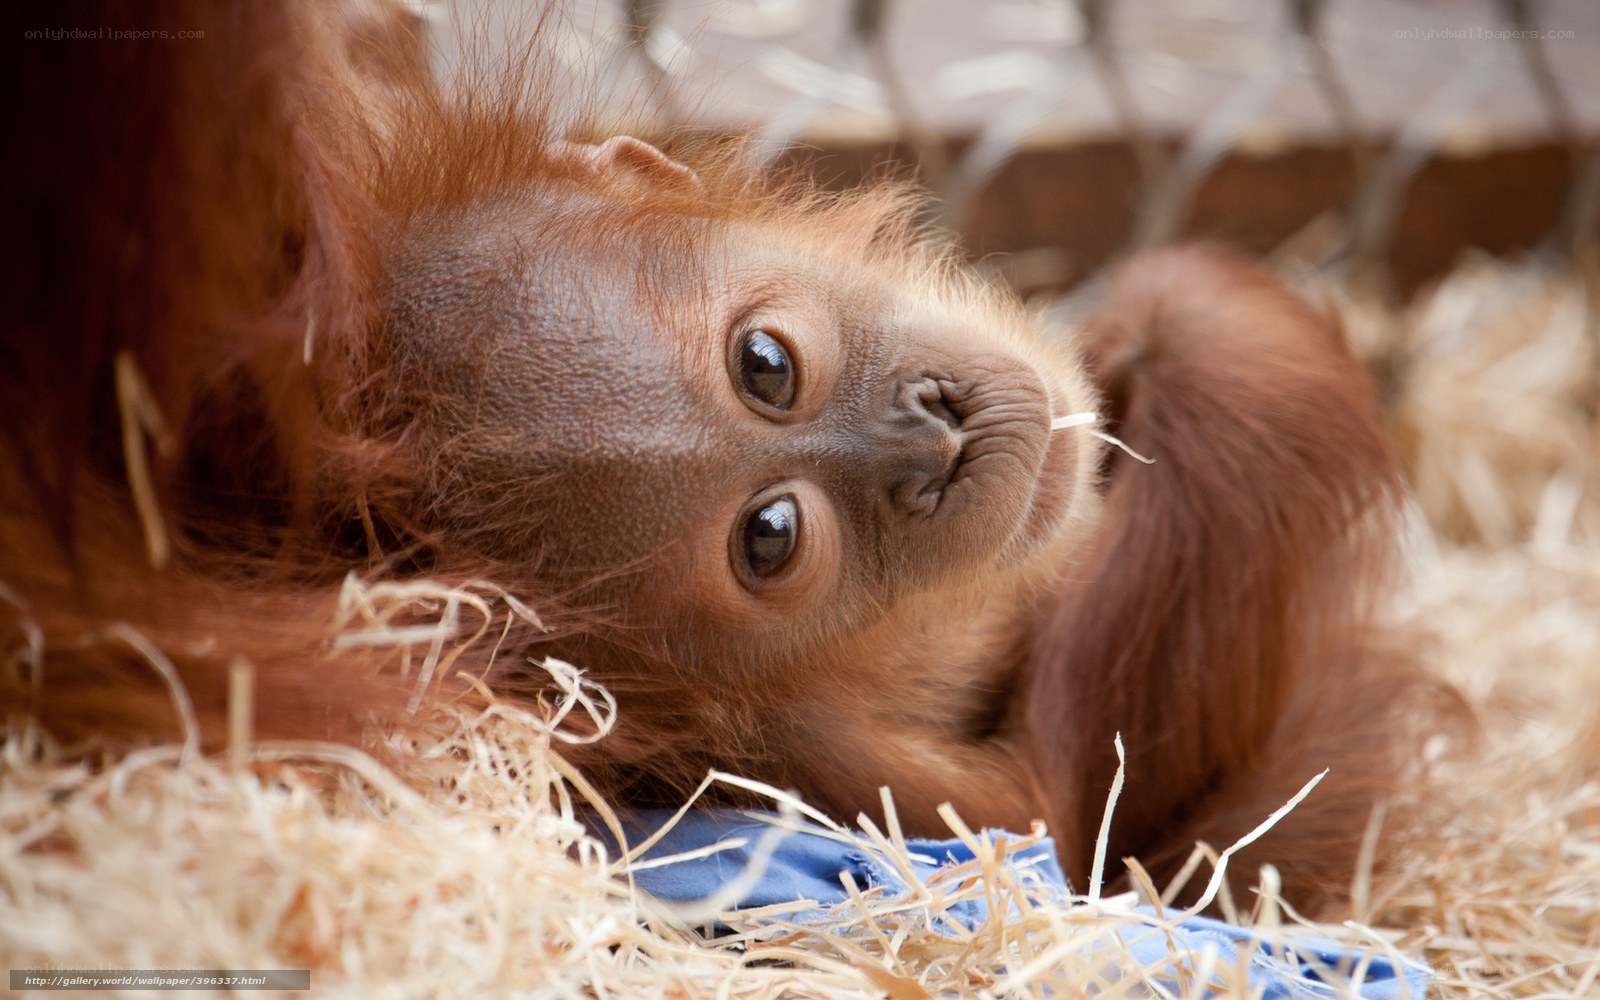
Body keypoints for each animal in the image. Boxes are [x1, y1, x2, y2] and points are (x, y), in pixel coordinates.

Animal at [1, 0, 1438, 911]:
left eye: (765, 363)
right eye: (772, 535)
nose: (929, 434)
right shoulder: (860, 776)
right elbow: (1083, 820)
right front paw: (1183, 324)